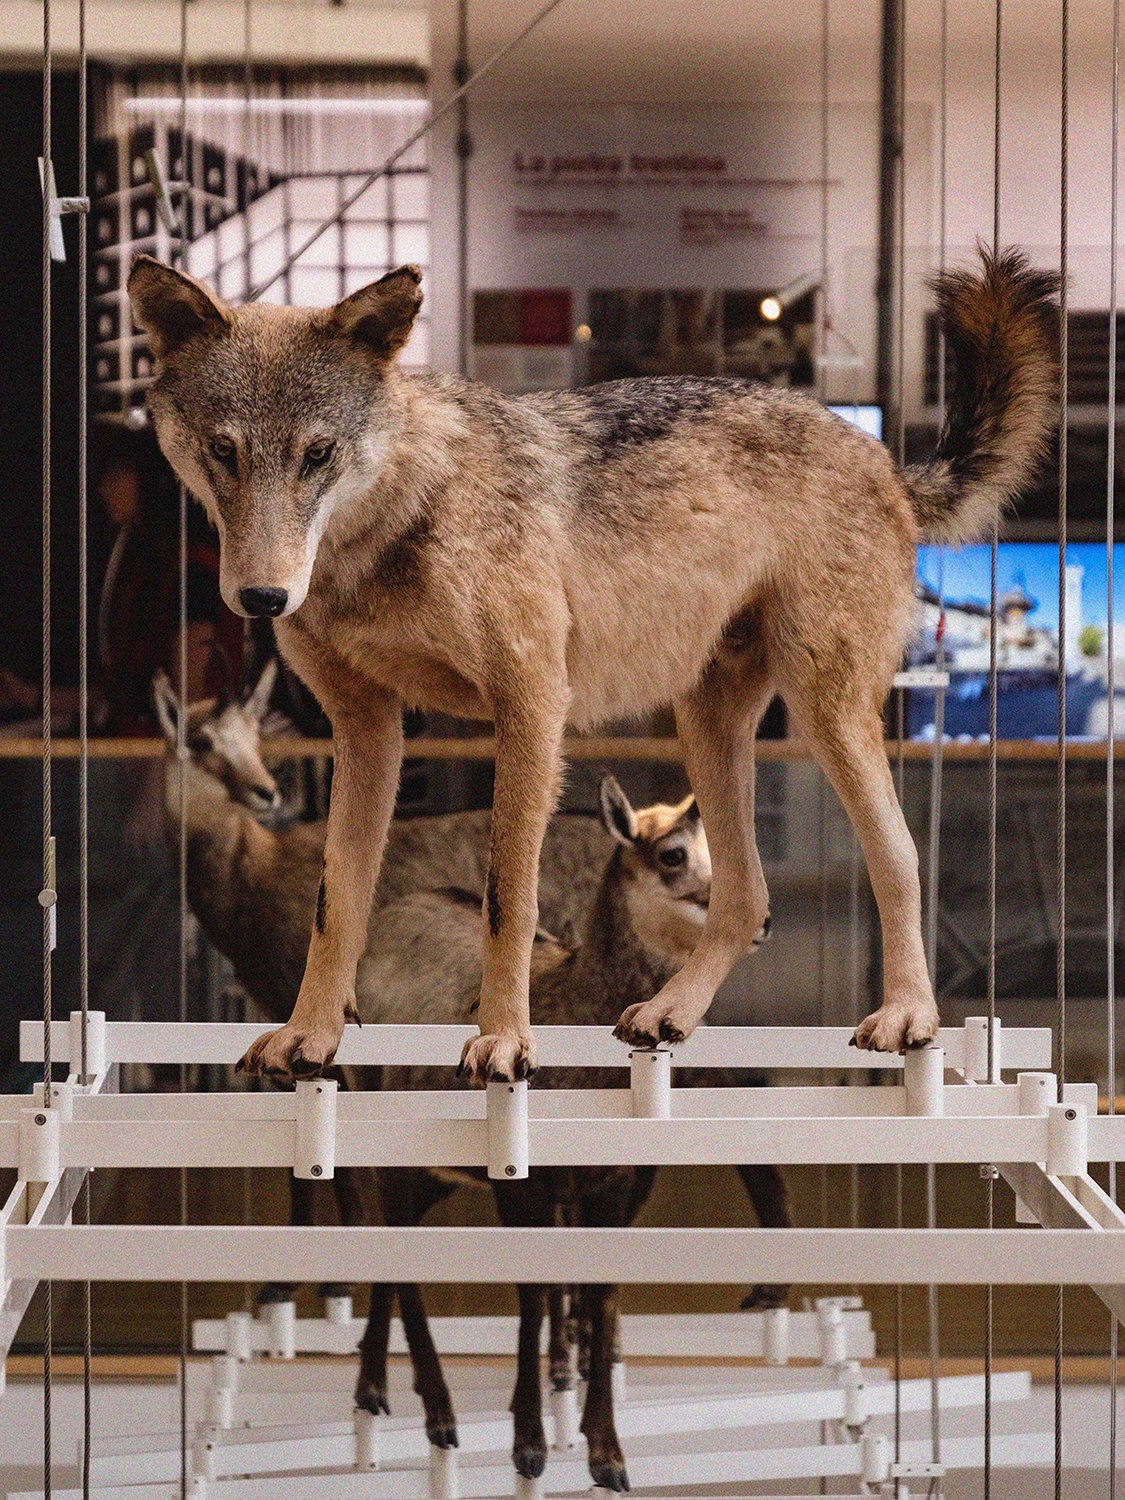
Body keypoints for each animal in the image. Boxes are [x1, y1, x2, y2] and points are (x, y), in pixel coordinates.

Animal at [127, 252, 1062, 1086]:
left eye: (317, 454)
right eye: (223, 452)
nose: (262, 597)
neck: (392, 524)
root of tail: (884, 460)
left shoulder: (531, 706)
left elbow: (510, 895)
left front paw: (504, 1042)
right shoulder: (365, 730)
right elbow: (337, 901)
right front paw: (310, 1035)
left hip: (825, 713)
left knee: (898, 857)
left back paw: (907, 1017)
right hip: (707, 727)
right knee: (747, 896)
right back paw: (671, 1012)